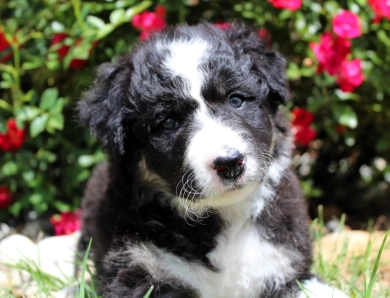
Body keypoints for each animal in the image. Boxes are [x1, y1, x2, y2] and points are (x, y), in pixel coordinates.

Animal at [77, 22, 348, 296]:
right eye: (167, 122)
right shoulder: (139, 267)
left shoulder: (286, 267)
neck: (225, 214)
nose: (230, 164)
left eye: (236, 99)